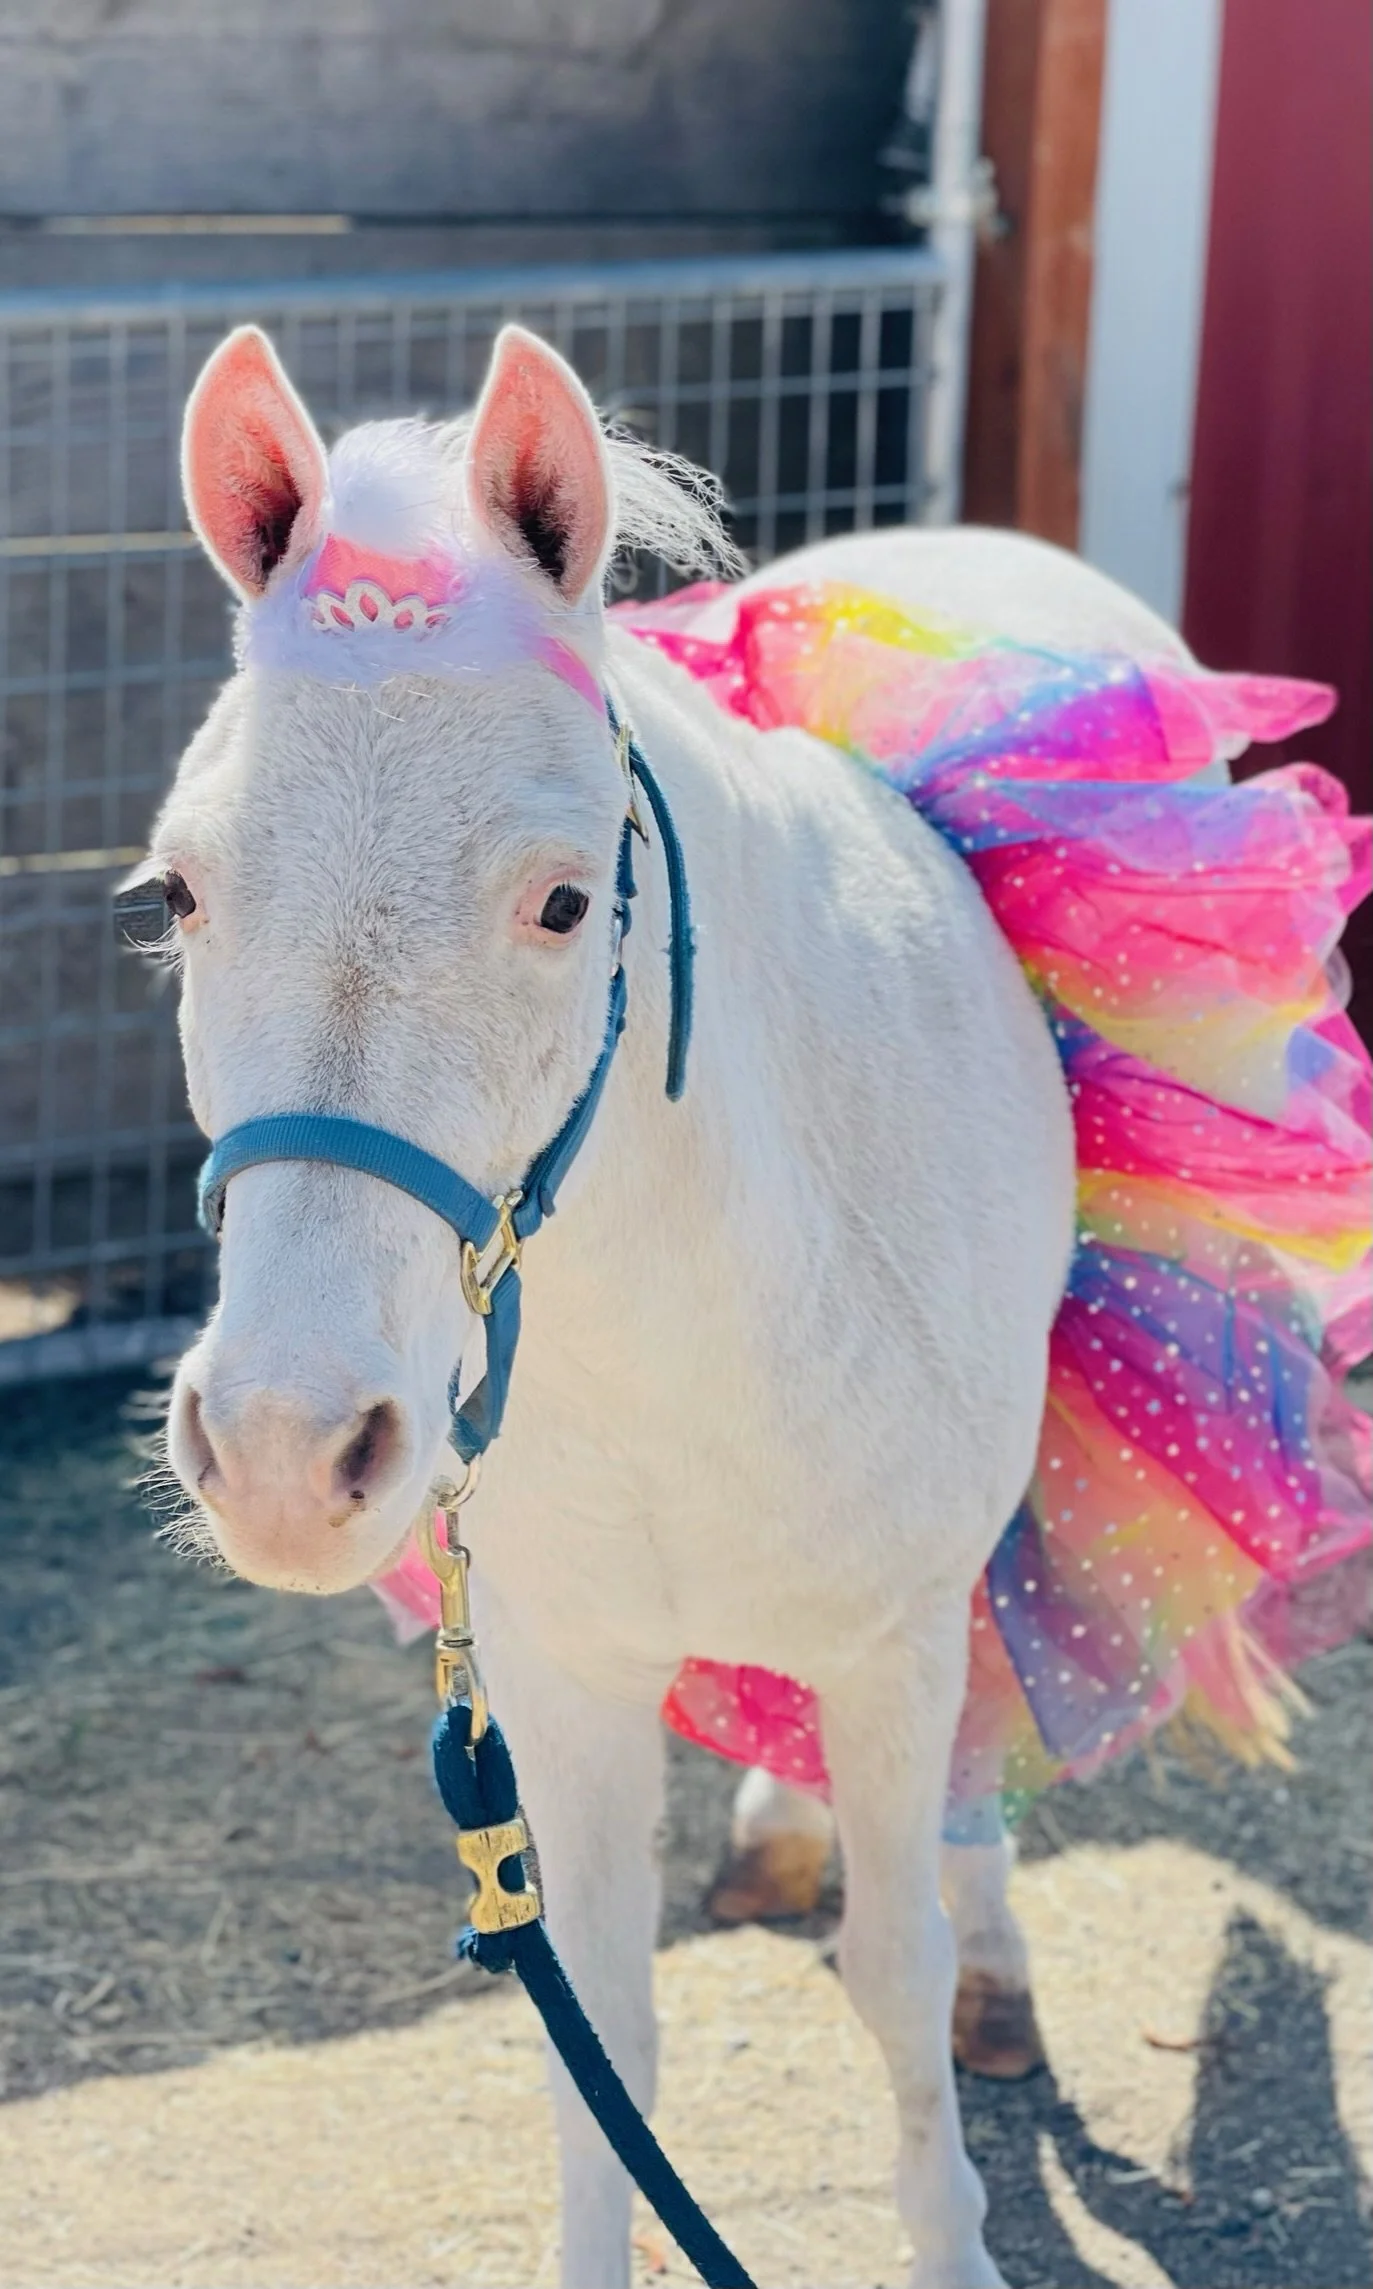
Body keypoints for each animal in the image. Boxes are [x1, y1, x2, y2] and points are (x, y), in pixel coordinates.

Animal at [146, 320, 1369, 2289]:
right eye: (181, 889)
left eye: (566, 902)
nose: (282, 1451)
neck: (679, 1327)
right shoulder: (560, 1673)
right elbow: (601, 2025)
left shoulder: (892, 1640)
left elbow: (894, 1968)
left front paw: (952, 2224)